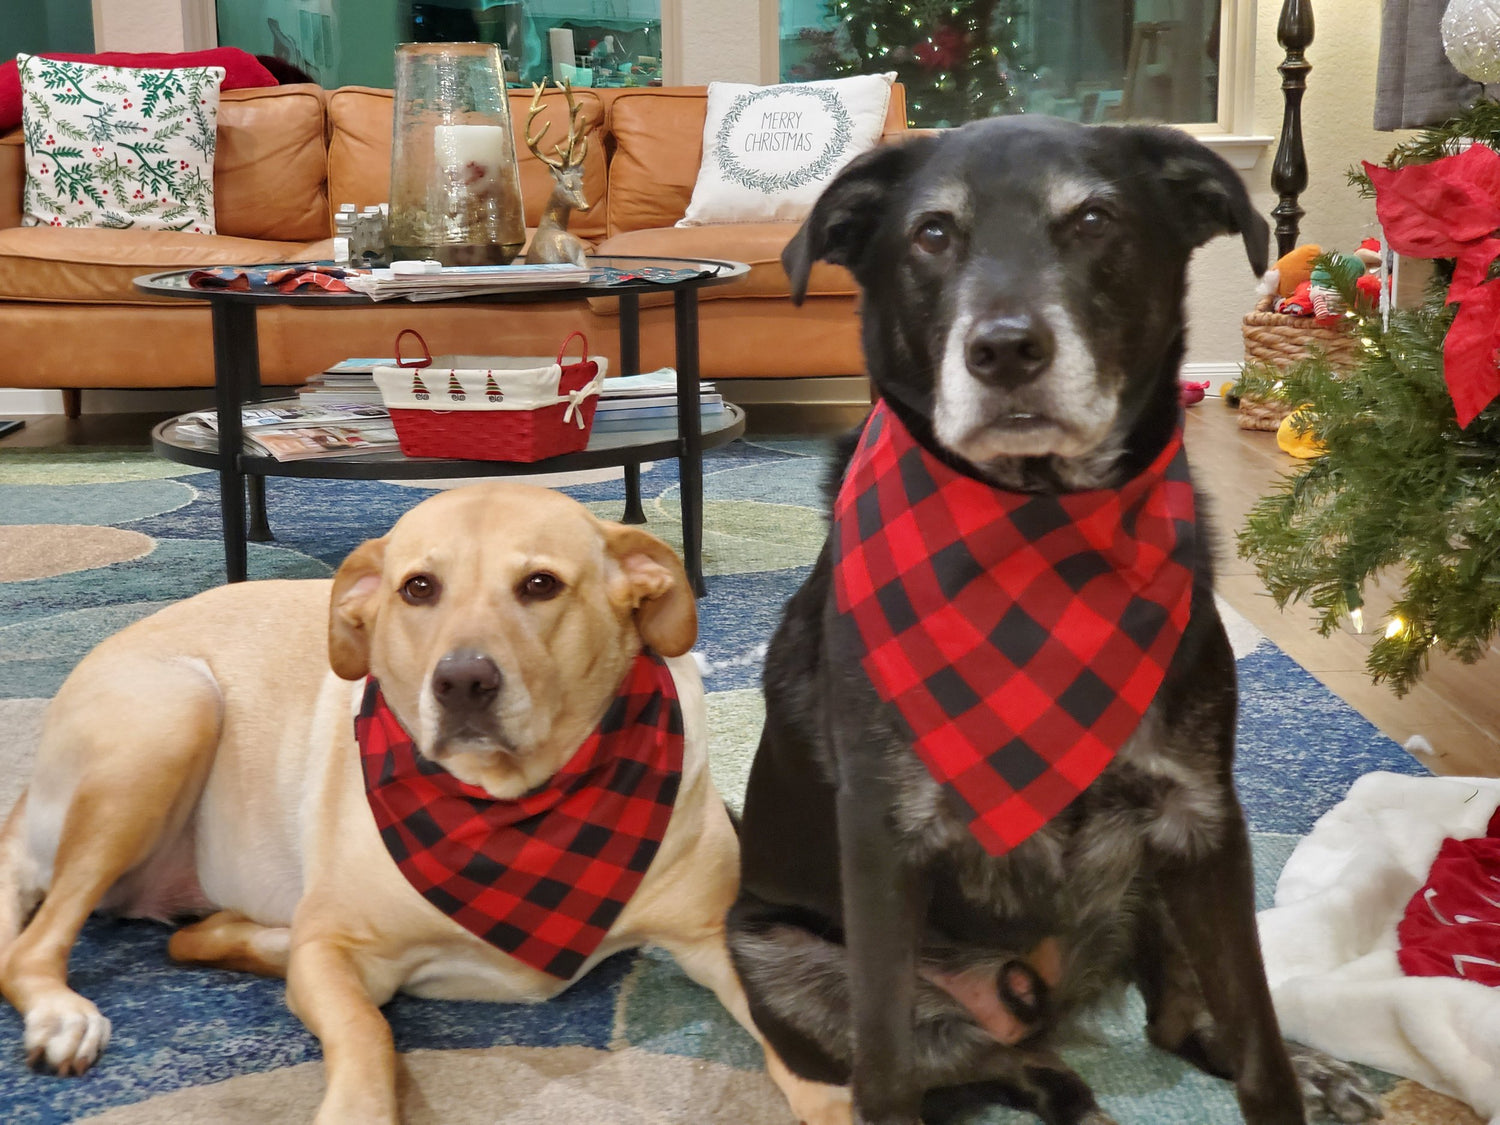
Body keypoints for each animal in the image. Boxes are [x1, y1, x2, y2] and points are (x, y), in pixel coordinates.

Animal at [0, 486, 780, 1125]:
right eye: (418, 588)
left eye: (540, 584)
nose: (462, 681)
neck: (509, 807)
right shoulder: (334, 948)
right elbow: (366, 1033)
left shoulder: (720, 938)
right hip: (176, 714)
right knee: (30, 950)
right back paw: (63, 1014)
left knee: (188, 939)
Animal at [726, 117, 1380, 1125]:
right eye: (932, 233)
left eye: (1094, 219)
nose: (1004, 351)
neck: (1040, 527)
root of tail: (1039, 987)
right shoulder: (883, 843)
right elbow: (888, 1075)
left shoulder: (1204, 823)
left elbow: (1258, 1037)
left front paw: (1290, 1074)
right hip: (780, 959)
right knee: (1011, 1064)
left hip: (1153, 879)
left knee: (1180, 1022)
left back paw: (1310, 1069)